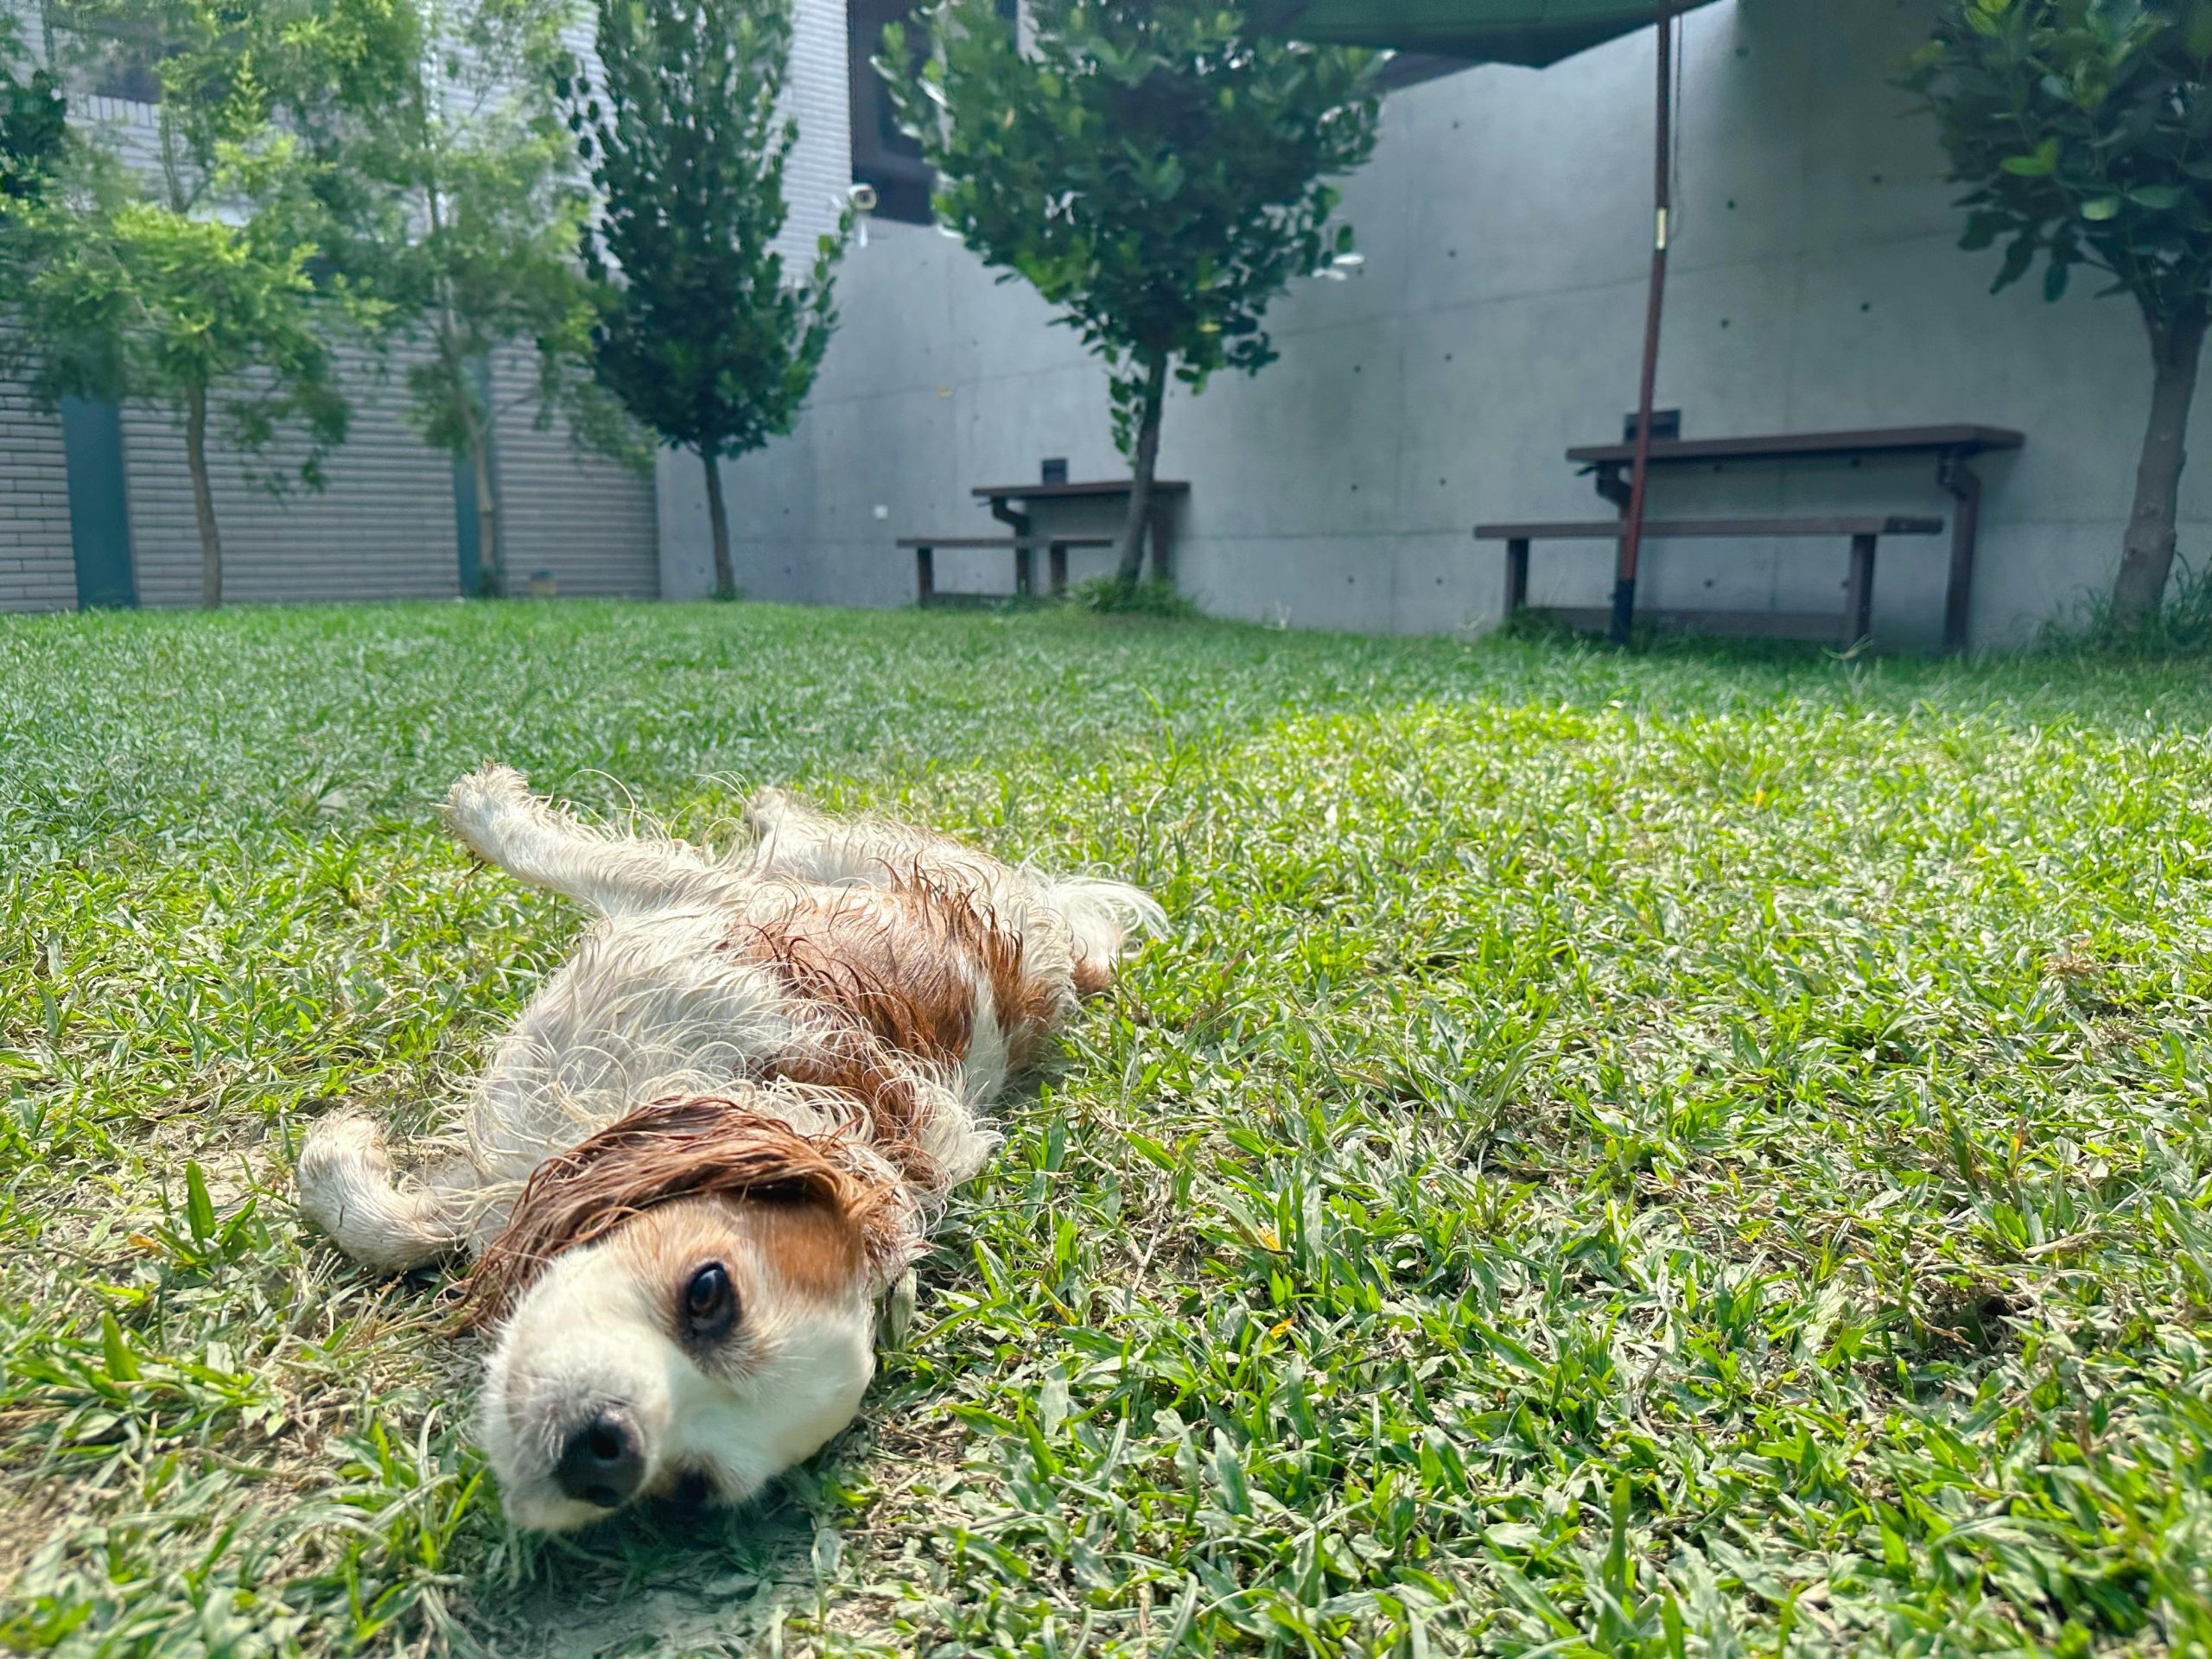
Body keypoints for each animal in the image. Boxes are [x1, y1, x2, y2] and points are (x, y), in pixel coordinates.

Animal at [296, 765, 1159, 1530]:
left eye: (689, 1489)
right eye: (708, 1293)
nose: (609, 1452)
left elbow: (382, 1221)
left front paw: (339, 1150)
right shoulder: (693, 910)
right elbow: (541, 846)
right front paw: (483, 801)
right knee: (796, 835)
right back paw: (763, 809)